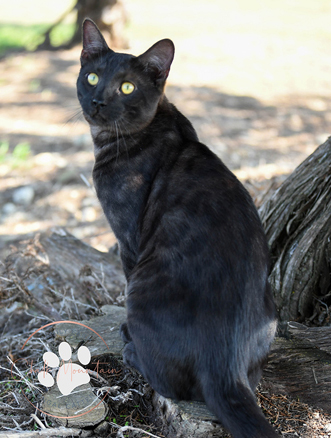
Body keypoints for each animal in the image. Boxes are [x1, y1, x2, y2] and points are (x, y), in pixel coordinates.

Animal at [78, 18, 280, 436]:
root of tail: (224, 365)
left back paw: (130, 347)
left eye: (127, 87)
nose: (98, 101)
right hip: (272, 313)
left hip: (142, 285)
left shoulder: (127, 240)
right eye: (91, 77)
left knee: (169, 381)